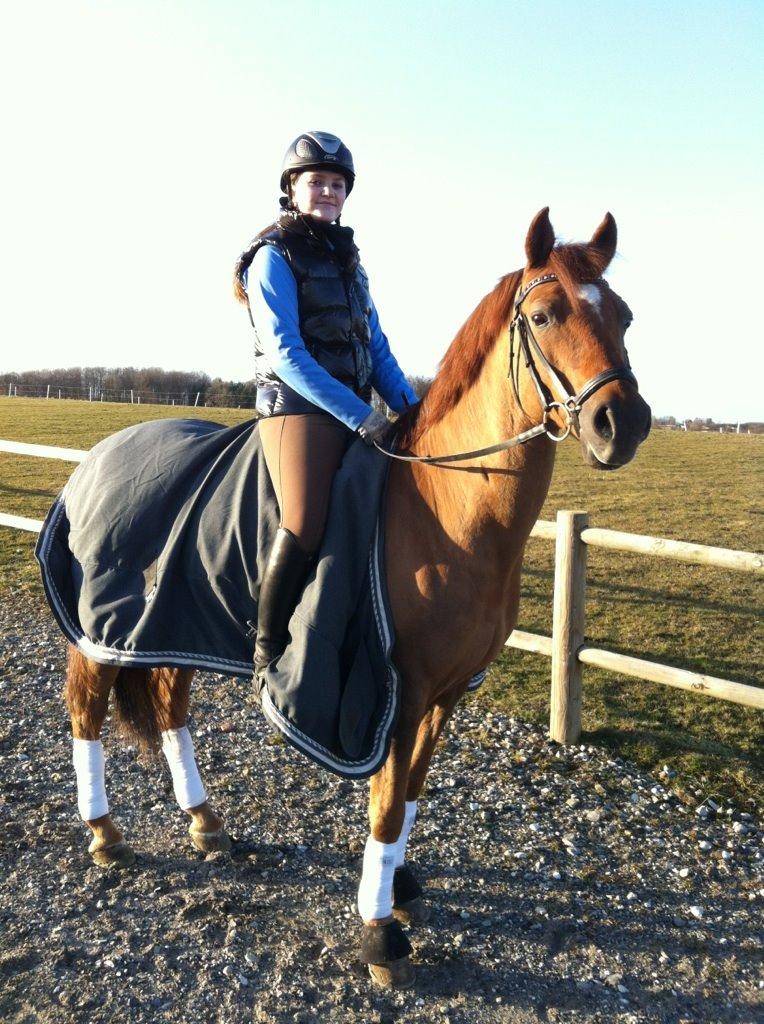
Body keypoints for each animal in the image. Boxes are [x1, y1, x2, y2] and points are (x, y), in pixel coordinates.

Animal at [62, 208, 651, 989]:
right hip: (100, 634)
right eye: (545, 314)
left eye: (624, 314)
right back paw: (103, 831)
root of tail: (98, 456)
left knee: (168, 708)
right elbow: (387, 805)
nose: (625, 423)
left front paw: (398, 888)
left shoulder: (444, 693)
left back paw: (206, 823)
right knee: (87, 714)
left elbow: (412, 795)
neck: (444, 504)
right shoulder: (394, 689)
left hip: (170, 624)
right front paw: (378, 934)